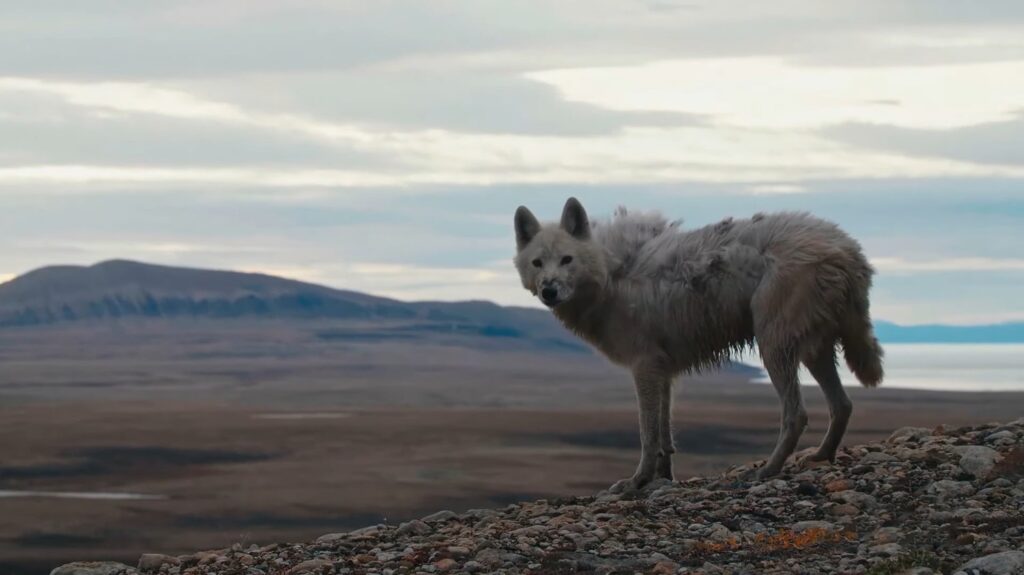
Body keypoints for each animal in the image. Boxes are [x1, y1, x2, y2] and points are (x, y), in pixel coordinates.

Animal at [516, 196, 884, 487]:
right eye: (537, 263)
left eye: (567, 260)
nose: (549, 290)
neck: (611, 275)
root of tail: (847, 249)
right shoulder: (663, 372)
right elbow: (665, 436)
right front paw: (661, 479)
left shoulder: (644, 369)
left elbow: (648, 435)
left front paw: (637, 482)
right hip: (813, 351)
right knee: (842, 405)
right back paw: (821, 455)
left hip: (774, 349)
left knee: (797, 415)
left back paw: (767, 470)